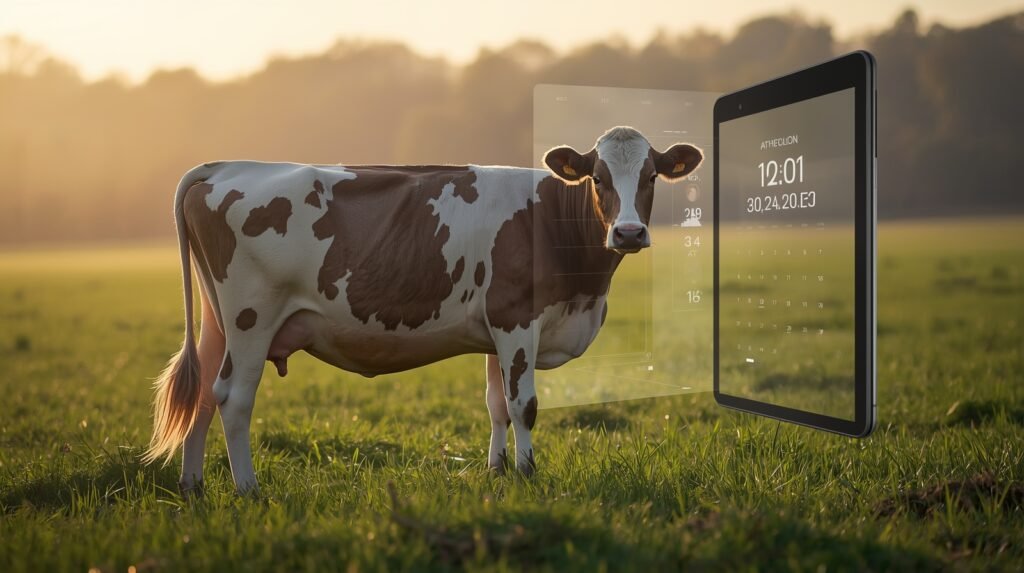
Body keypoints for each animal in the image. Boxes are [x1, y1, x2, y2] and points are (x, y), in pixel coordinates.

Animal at [145, 126, 703, 493]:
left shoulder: (496, 329)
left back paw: (193, 486)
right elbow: (524, 404)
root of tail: (227, 165)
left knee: (202, 393)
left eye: (652, 177)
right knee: (234, 398)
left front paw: (497, 472)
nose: (628, 233)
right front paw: (527, 474)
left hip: (217, 322)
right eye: (598, 178)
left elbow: (496, 404)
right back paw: (248, 489)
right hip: (252, 317)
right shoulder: (517, 318)